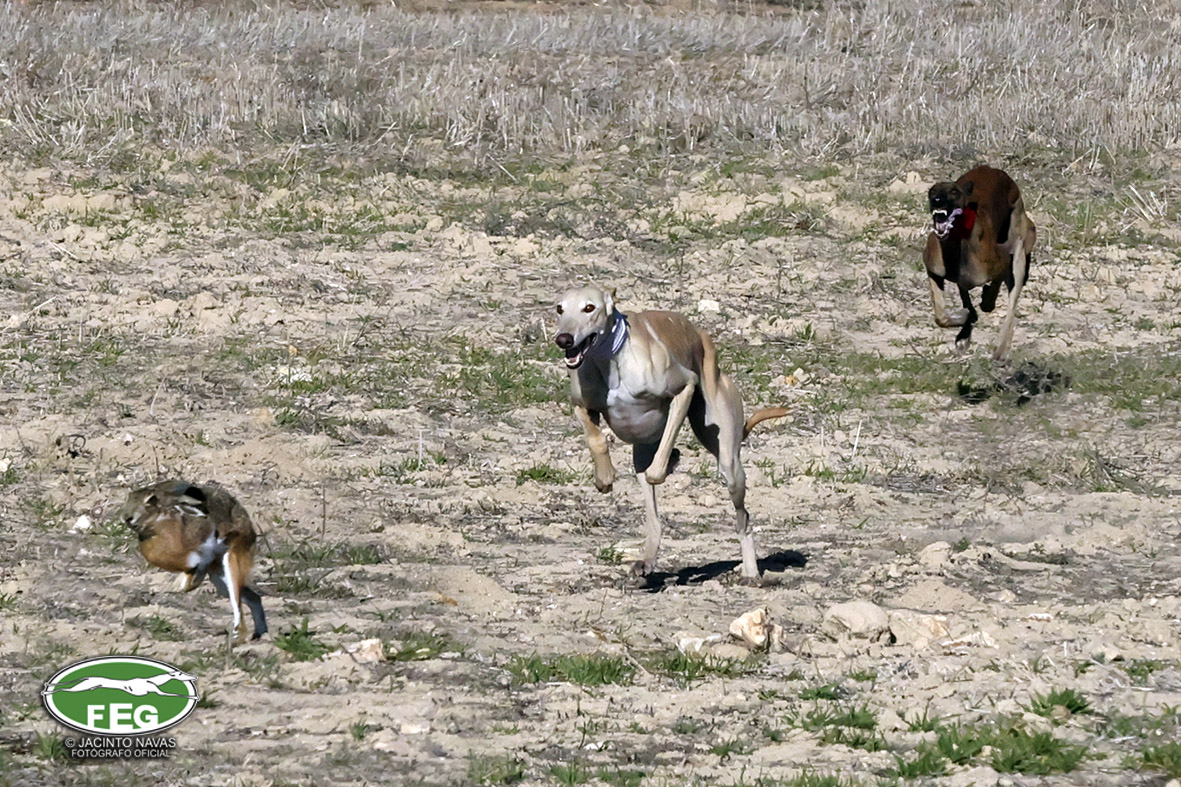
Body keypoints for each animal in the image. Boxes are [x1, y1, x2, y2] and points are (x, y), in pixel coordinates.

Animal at [118, 480, 267, 643]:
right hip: (219, 578)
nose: (127, 517)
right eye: (129, 497)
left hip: (231, 560)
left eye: (151, 500)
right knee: (253, 598)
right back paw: (258, 635)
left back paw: (238, 638)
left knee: (237, 599)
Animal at [554, 285, 789, 582]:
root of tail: (701, 334)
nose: (564, 339)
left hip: (728, 461)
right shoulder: (580, 406)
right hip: (642, 455)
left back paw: (750, 572)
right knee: (654, 519)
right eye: (559, 309)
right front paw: (604, 476)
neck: (610, 361)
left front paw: (665, 465)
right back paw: (647, 561)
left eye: (589, 308)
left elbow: (662, 457)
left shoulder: (684, 389)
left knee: (742, 518)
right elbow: (595, 438)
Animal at [923, 165, 1036, 361]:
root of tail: (993, 169)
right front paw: (964, 320)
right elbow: (941, 316)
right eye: (932, 191)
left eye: (954, 192)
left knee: (1011, 301)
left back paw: (1000, 349)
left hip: (1021, 239)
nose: (936, 200)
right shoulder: (933, 269)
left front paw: (984, 303)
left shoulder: (1001, 261)